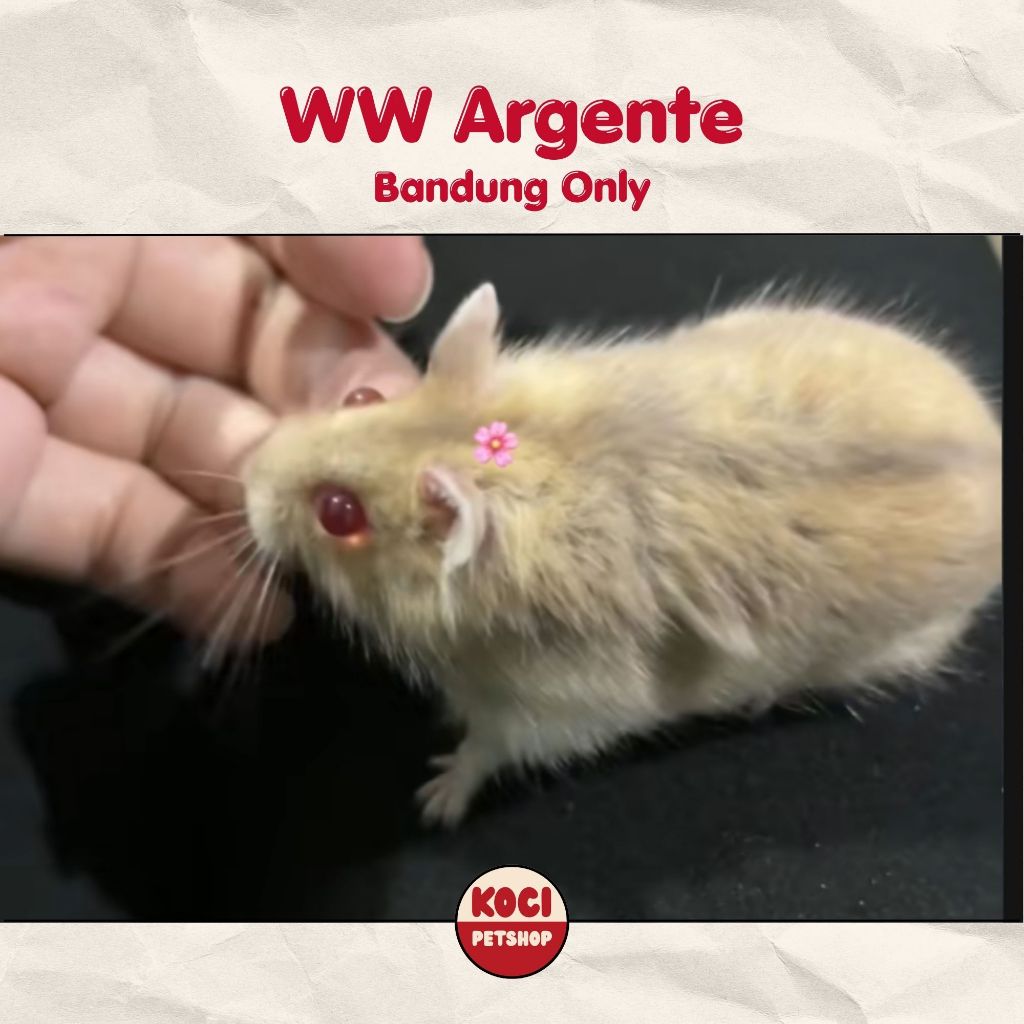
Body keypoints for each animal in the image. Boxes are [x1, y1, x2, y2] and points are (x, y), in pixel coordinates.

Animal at [243, 283, 1002, 827]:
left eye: (339, 514)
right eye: (361, 395)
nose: (245, 474)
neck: (532, 469)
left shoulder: (550, 709)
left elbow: (487, 748)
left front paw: (434, 800)